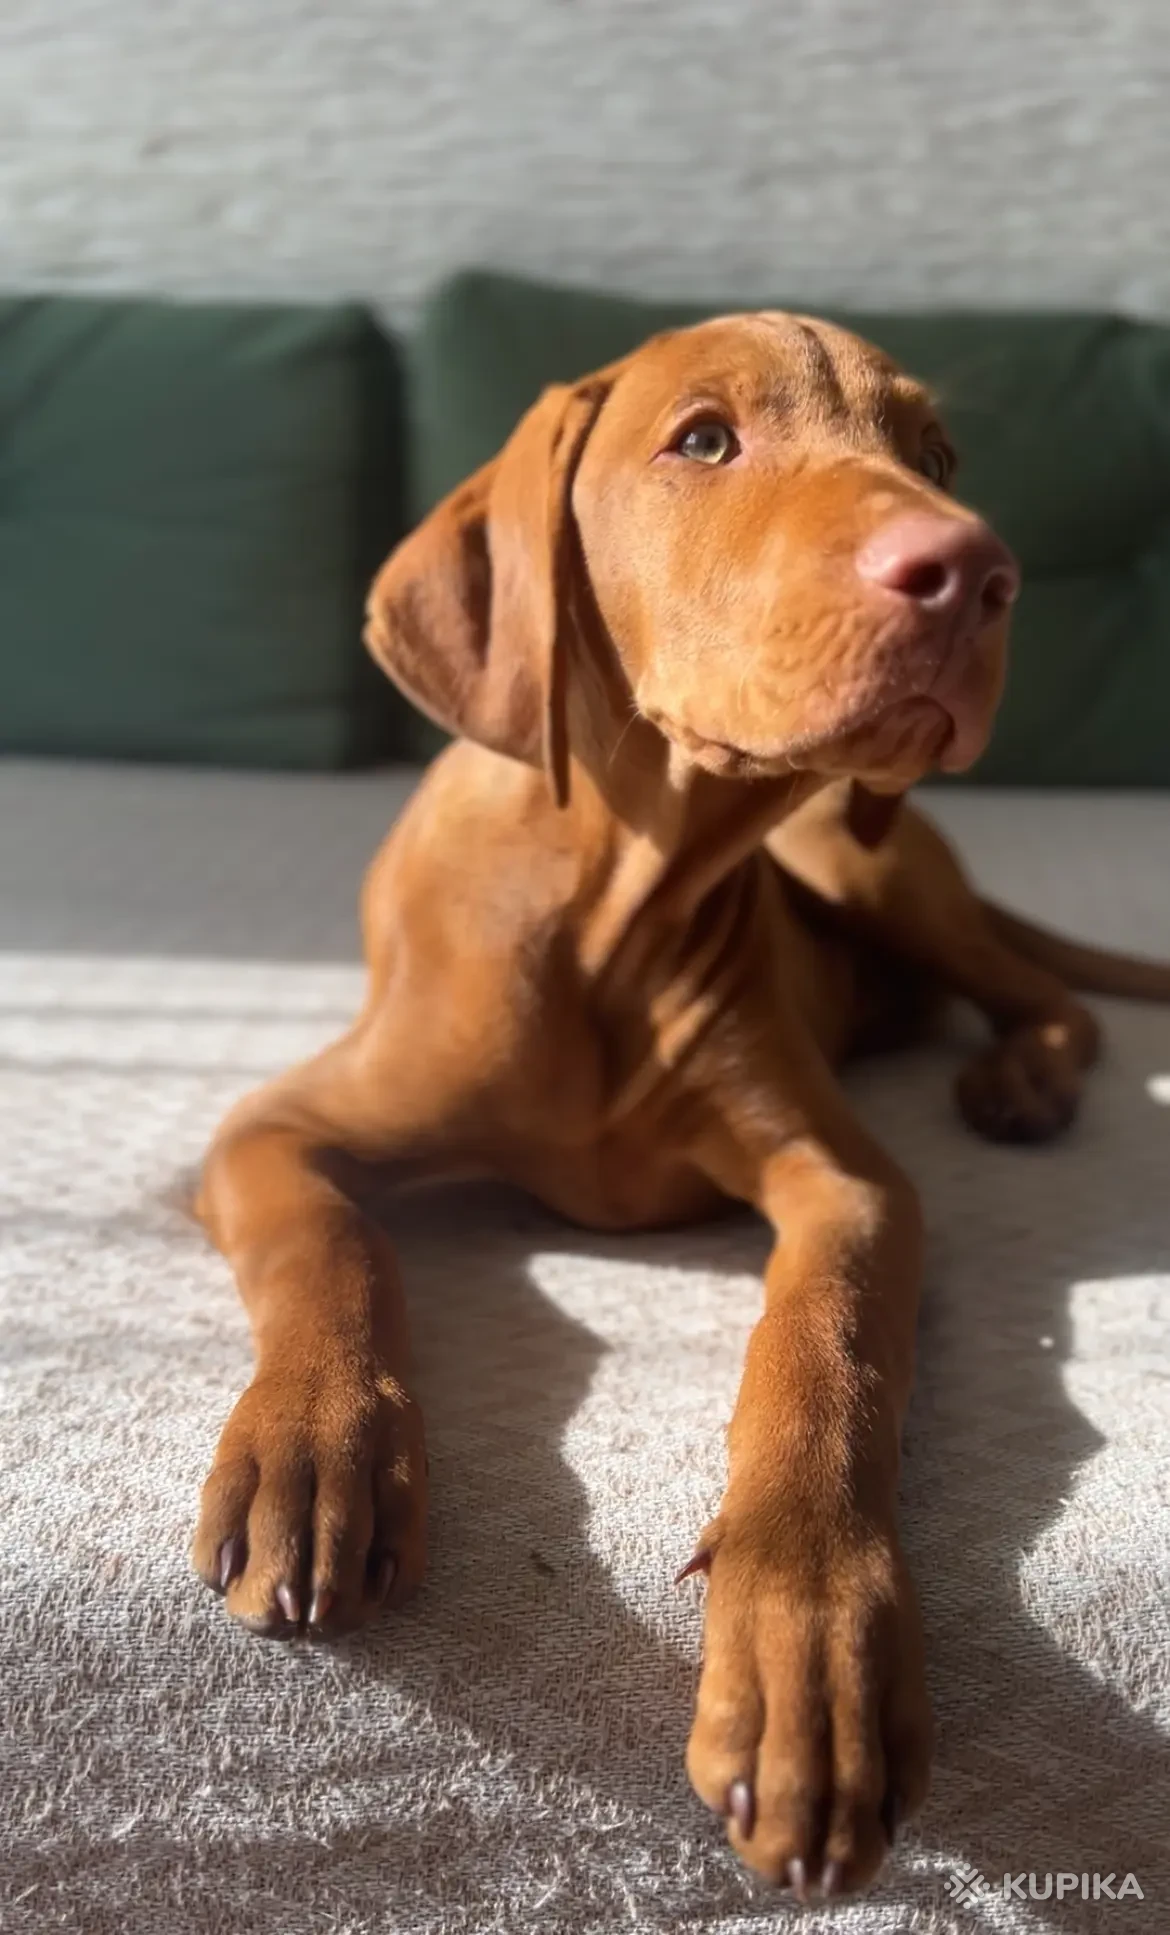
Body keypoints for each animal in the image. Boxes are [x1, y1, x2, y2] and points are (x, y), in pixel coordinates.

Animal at [192, 312, 1170, 1901]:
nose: (975, 571)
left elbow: (825, 1355)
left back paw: (1021, 1076)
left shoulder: (848, 1183)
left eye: (934, 453)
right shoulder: (266, 1128)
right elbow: (330, 1245)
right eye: (704, 439)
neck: (615, 898)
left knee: (1049, 994)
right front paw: (313, 1446)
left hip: (868, 854)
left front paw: (810, 1654)